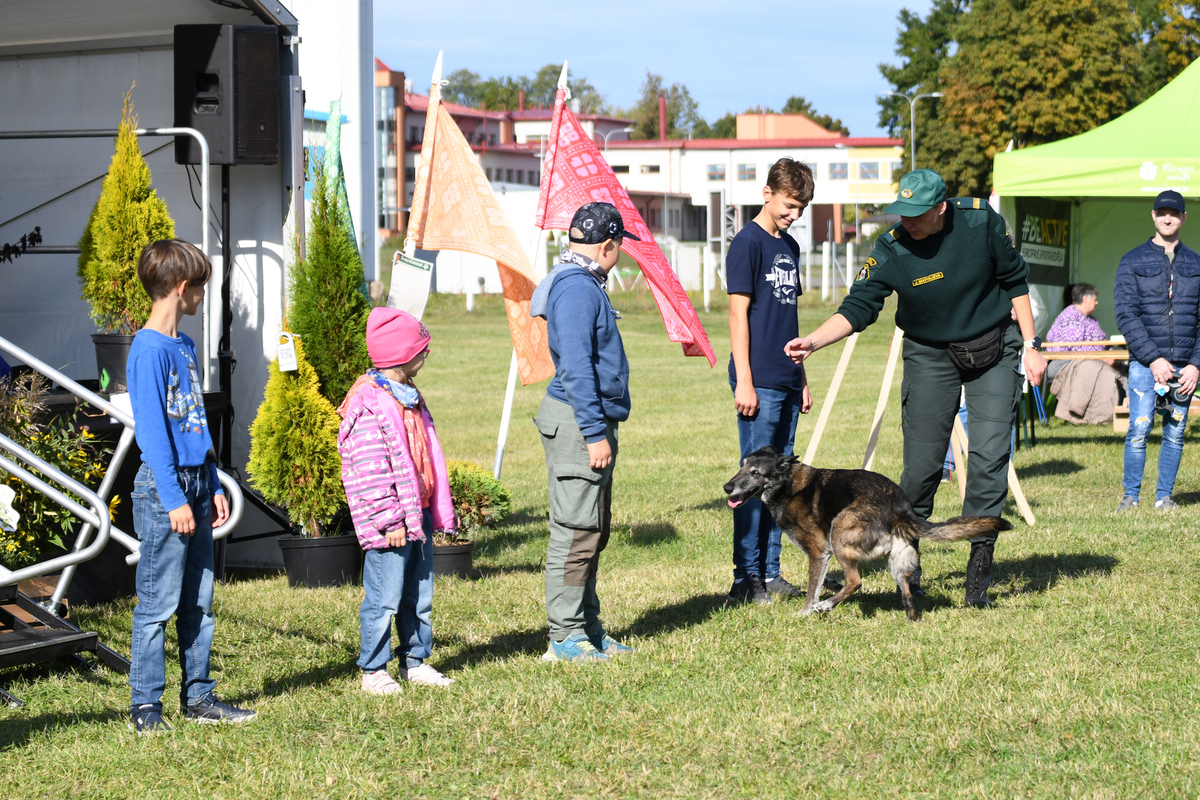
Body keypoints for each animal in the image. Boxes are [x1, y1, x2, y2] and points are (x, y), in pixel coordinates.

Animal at [720, 448, 1012, 623]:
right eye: (741, 466)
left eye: (756, 473)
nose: (727, 487)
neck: (787, 483)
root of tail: (899, 509)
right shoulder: (823, 555)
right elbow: (821, 579)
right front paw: (829, 586)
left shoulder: (819, 550)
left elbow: (813, 587)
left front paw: (805, 612)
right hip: (898, 561)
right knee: (906, 593)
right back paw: (910, 620)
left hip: (839, 532)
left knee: (856, 581)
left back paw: (826, 606)